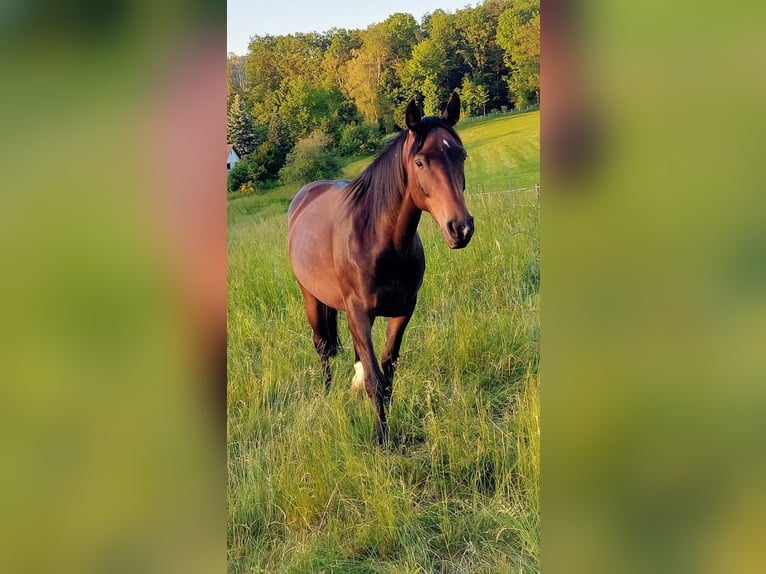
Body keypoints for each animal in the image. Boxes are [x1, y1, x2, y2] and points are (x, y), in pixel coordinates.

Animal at [287, 92, 474, 444]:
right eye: (420, 162)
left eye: (461, 155)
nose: (460, 228)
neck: (379, 241)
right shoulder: (359, 313)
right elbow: (376, 379)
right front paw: (382, 439)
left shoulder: (403, 311)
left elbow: (387, 369)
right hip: (311, 298)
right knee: (323, 348)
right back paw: (328, 393)